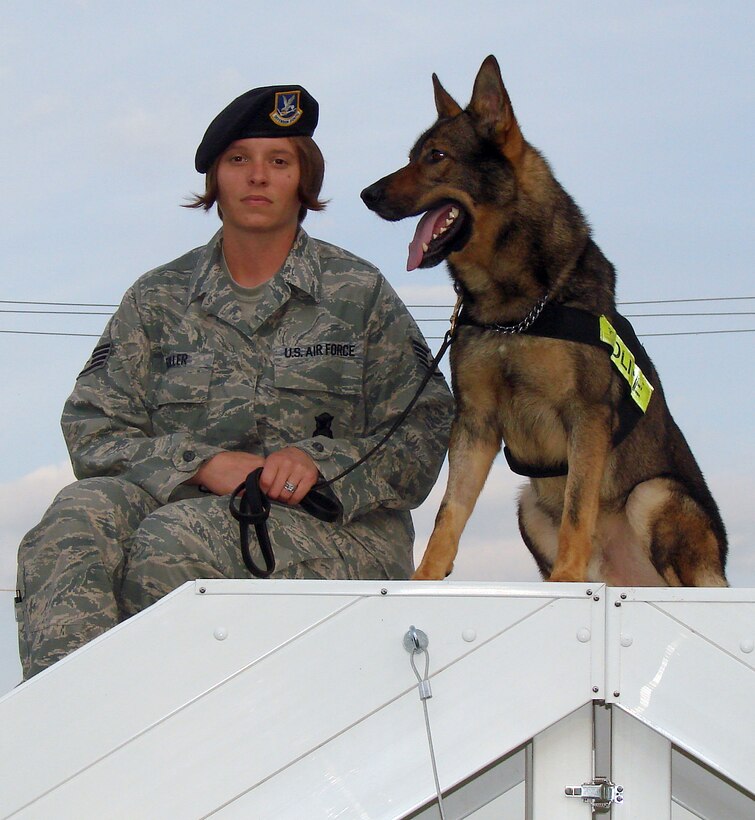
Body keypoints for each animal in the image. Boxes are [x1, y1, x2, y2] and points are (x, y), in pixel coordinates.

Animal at [364, 54, 728, 588]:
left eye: (436, 156)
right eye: (413, 156)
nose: (366, 194)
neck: (515, 312)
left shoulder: (587, 417)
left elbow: (578, 508)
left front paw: (566, 577)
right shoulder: (475, 424)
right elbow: (449, 512)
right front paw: (425, 577)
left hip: (654, 494)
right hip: (528, 509)